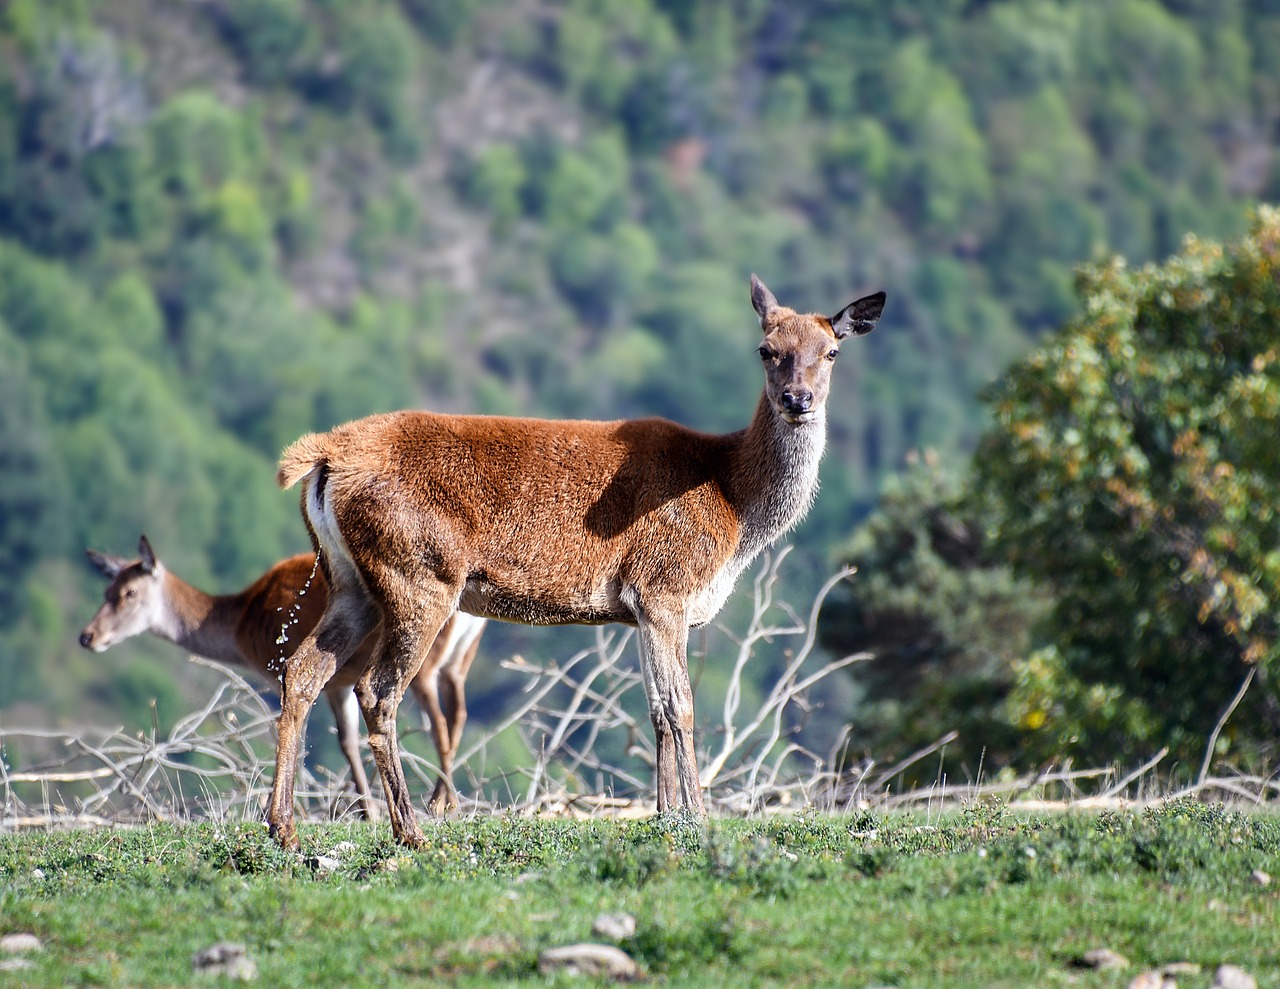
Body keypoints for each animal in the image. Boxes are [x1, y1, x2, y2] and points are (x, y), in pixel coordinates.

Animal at [80, 537, 486, 813]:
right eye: (106, 589)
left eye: (130, 593)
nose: (87, 636)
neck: (243, 626)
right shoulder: (339, 682)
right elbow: (346, 742)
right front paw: (365, 811)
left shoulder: (284, 667)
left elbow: (308, 736)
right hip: (459, 662)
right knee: (459, 716)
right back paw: (448, 798)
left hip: (426, 662)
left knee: (439, 725)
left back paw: (440, 803)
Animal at [270, 273, 890, 844]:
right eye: (766, 348)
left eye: (831, 351)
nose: (797, 400)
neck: (735, 507)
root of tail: (323, 457)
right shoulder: (664, 586)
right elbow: (682, 705)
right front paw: (698, 817)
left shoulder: (639, 606)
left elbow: (656, 709)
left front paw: (666, 816)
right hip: (419, 575)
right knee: (376, 691)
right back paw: (410, 831)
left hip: (349, 579)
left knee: (301, 670)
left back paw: (284, 826)